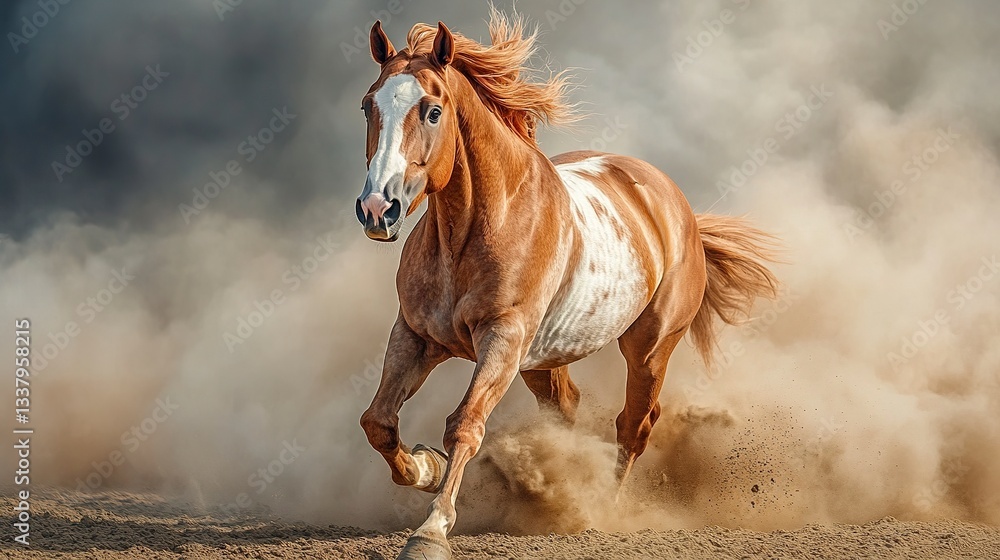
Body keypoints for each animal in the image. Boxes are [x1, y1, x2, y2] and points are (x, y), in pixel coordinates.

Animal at [354, 11, 778, 559]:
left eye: (432, 111)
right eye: (368, 106)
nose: (376, 209)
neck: (471, 231)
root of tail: (675, 204)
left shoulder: (503, 338)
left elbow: (465, 424)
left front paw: (430, 532)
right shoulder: (415, 335)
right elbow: (379, 422)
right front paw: (426, 467)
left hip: (648, 348)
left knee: (634, 424)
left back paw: (605, 508)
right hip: (542, 359)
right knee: (567, 408)